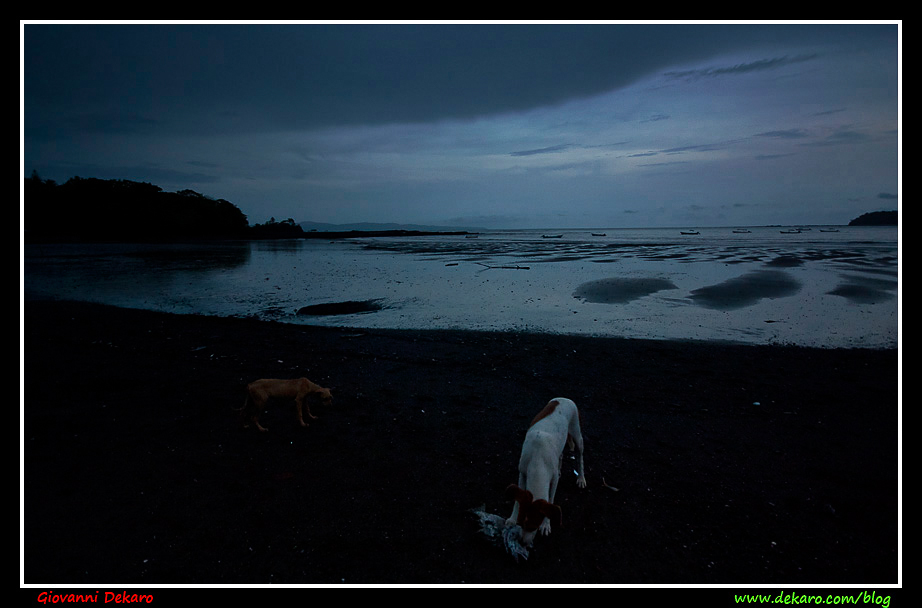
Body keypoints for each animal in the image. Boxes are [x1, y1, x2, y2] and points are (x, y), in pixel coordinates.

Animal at [504, 396, 584, 548]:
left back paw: (581, 478)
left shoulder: (553, 481)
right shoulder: (522, 473)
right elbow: (518, 498)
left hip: (576, 432)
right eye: (521, 523)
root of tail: (564, 398)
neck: (537, 461)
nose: (523, 543)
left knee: (579, 455)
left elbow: (550, 499)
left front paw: (546, 525)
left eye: (535, 526)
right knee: (560, 455)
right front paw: (512, 518)